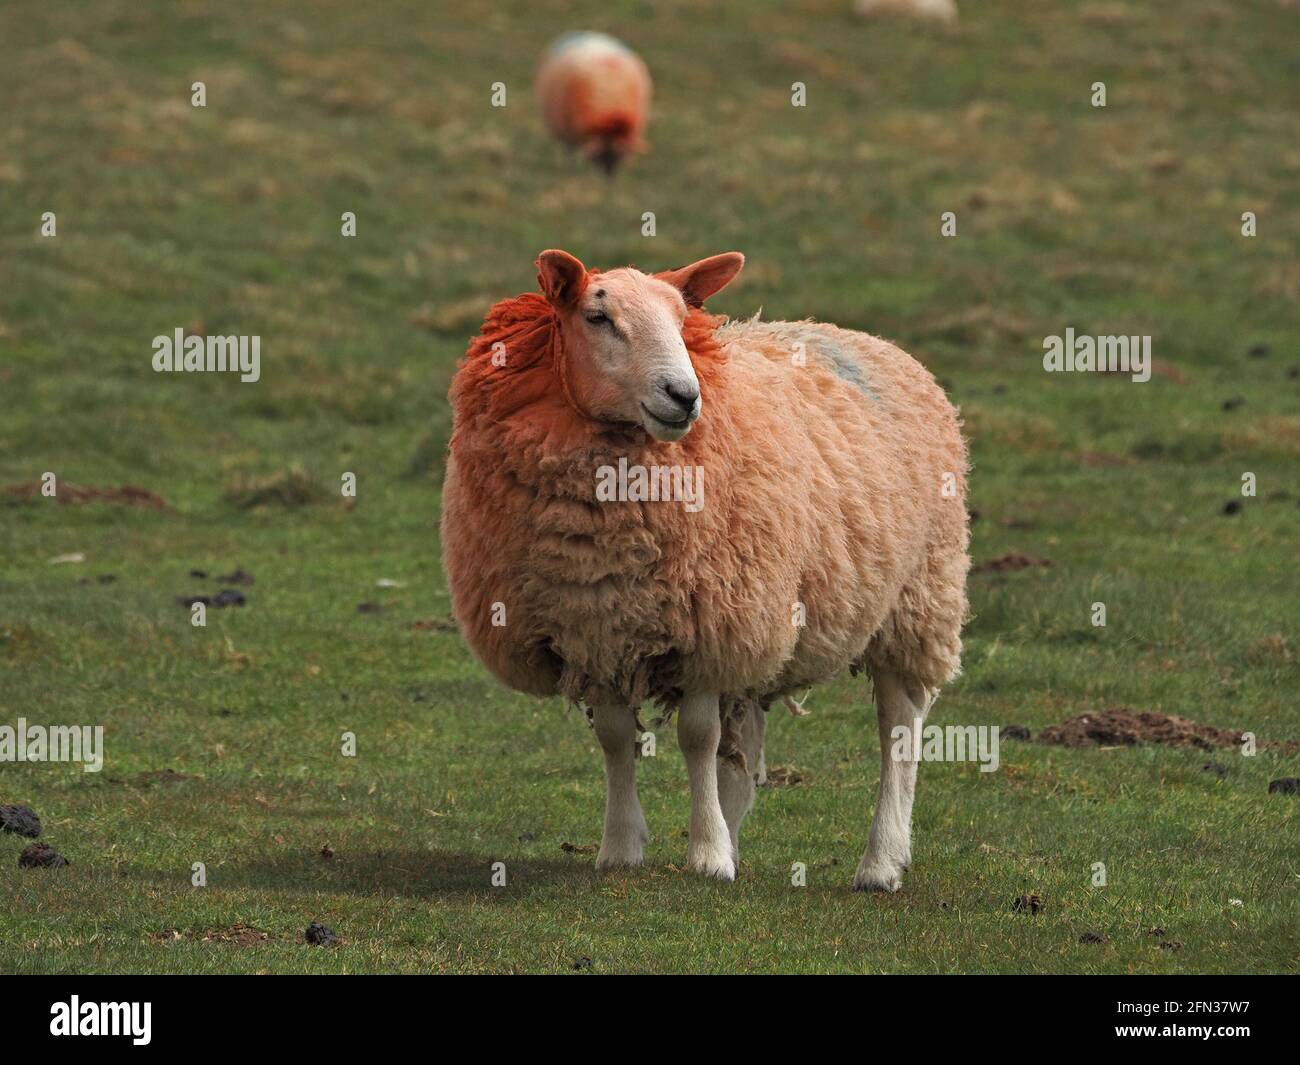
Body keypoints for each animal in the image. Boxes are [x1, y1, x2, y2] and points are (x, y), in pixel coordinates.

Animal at [441, 249, 972, 889]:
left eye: (680, 318)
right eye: (598, 317)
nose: (684, 395)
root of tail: (866, 338)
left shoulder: (710, 627)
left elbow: (697, 738)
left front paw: (707, 856)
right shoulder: (595, 630)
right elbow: (615, 740)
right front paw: (622, 847)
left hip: (915, 602)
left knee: (899, 730)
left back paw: (881, 862)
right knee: (744, 746)